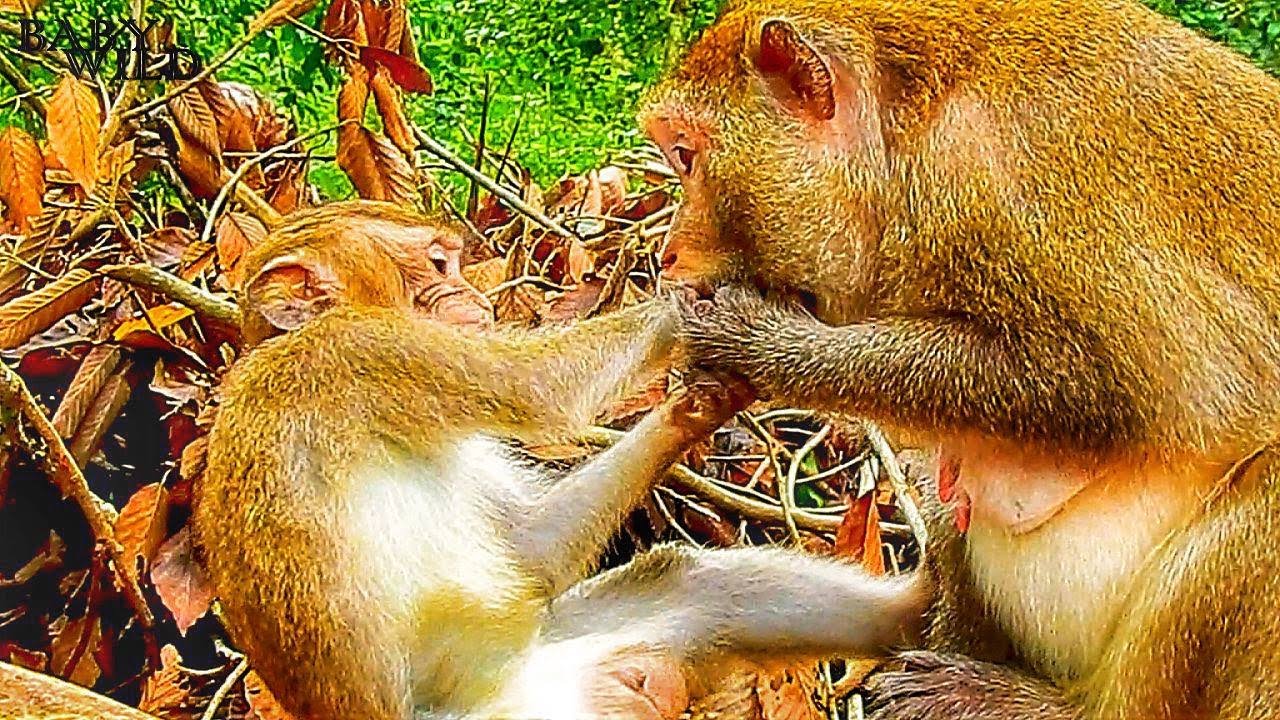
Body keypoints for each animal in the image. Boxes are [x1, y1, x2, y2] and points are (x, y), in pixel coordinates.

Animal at [193, 201, 925, 720]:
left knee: (695, 584)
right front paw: (718, 300)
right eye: (438, 265)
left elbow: (532, 550)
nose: (477, 300)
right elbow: (534, 389)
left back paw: (915, 611)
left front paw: (706, 399)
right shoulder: (361, 350)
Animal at [639, 0, 1280, 718]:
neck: (906, 130)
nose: (666, 251)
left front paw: (758, 342)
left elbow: (1142, 386)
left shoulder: (1003, 180)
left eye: (685, 155)